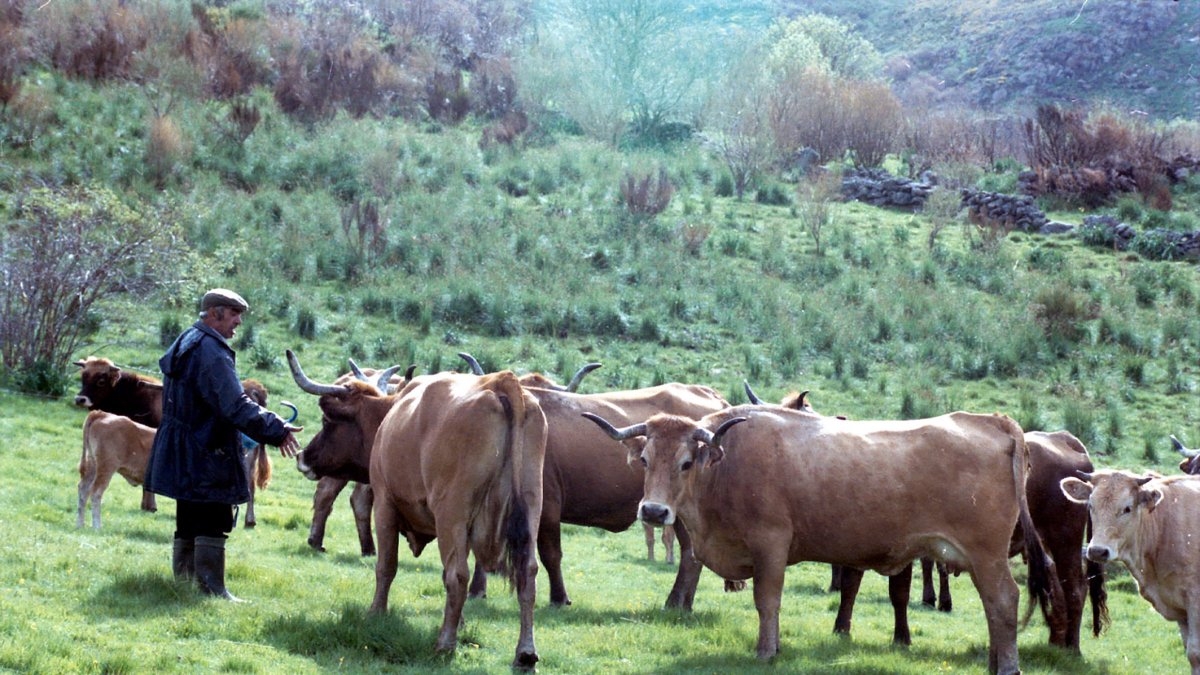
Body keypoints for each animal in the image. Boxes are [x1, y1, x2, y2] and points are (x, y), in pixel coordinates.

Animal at [583, 406, 1054, 674]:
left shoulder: (770, 544)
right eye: (645, 459)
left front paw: (766, 651)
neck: (725, 465)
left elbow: (766, 600)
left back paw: (1007, 666)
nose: (653, 512)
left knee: (1004, 601)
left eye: (685, 462)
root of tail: (995, 423)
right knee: (993, 607)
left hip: (987, 555)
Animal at [1061, 470, 1200, 673]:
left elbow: (1195, 654)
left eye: (1127, 508)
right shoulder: (1181, 610)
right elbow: (1190, 653)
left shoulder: (1194, 602)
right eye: (1090, 505)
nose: (1097, 551)